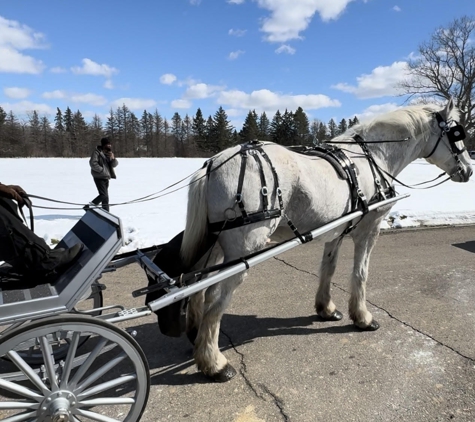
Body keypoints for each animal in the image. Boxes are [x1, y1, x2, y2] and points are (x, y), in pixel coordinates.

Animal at [179, 99, 472, 382]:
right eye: (456, 133)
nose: (468, 170)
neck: (373, 157)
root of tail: (214, 163)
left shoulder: (336, 231)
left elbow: (328, 269)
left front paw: (326, 309)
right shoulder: (369, 229)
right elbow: (360, 273)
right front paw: (363, 317)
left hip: (216, 245)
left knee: (196, 283)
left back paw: (195, 335)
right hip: (244, 248)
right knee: (215, 296)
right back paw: (214, 363)